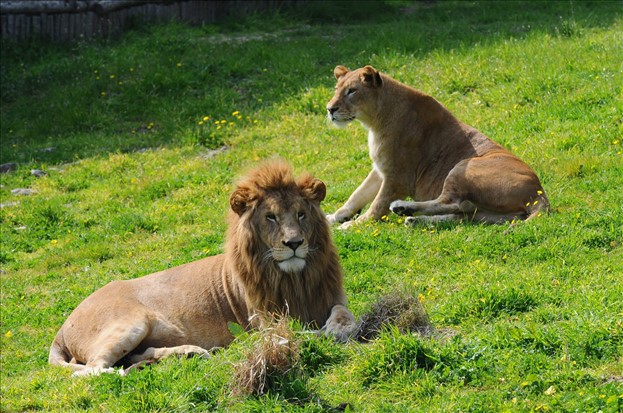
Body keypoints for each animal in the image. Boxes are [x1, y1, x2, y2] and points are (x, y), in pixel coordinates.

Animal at [48, 159, 358, 374]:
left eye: (301, 214)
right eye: (270, 217)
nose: (294, 242)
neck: (295, 279)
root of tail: (61, 328)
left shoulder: (331, 297)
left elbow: (343, 315)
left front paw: (338, 328)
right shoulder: (263, 320)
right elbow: (289, 334)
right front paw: (319, 334)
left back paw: (186, 354)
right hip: (130, 323)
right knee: (92, 371)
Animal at [324, 63, 548, 229]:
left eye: (352, 91)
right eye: (337, 90)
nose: (330, 109)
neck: (374, 121)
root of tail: (539, 193)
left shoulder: (398, 178)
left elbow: (377, 205)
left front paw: (353, 226)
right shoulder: (380, 170)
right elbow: (356, 196)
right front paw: (332, 217)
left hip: (464, 166)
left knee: (452, 202)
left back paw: (403, 208)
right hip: (486, 214)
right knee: (461, 214)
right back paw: (412, 218)